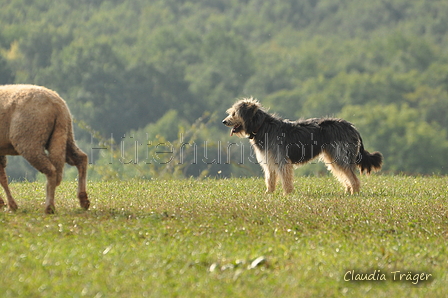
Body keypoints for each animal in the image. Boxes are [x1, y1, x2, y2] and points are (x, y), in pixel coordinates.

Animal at [222, 98, 384, 194]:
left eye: (234, 113)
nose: (224, 121)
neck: (261, 126)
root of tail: (352, 127)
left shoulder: (282, 161)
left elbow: (286, 178)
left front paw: (287, 194)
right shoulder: (269, 161)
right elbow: (270, 179)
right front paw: (269, 194)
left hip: (340, 155)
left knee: (352, 177)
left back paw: (354, 193)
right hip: (334, 157)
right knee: (346, 175)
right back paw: (348, 191)